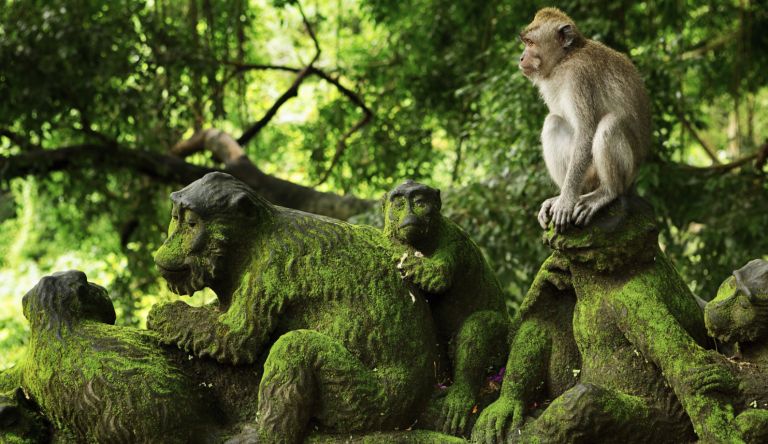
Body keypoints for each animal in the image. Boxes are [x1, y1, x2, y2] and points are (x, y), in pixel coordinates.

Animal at [519, 7, 652, 233]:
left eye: (530, 42)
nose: (521, 58)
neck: (565, 59)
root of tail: (634, 182)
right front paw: (562, 198)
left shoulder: (579, 76)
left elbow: (587, 131)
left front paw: (566, 202)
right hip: (588, 176)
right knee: (553, 122)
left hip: (618, 174)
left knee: (610, 123)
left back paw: (606, 193)